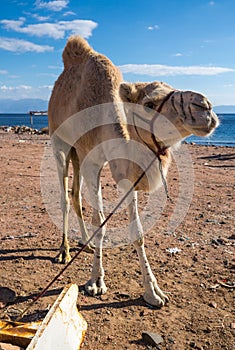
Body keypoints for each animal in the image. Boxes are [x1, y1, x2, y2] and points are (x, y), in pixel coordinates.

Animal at [48, 35, 220, 306]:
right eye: (149, 103)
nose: (205, 107)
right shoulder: (92, 161)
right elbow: (100, 221)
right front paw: (96, 282)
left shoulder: (128, 174)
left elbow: (137, 231)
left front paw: (153, 291)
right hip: (61, 143)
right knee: (65, 197)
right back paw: (63, 251)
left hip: (77, 153)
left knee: (75, 196)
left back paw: (86, 244)